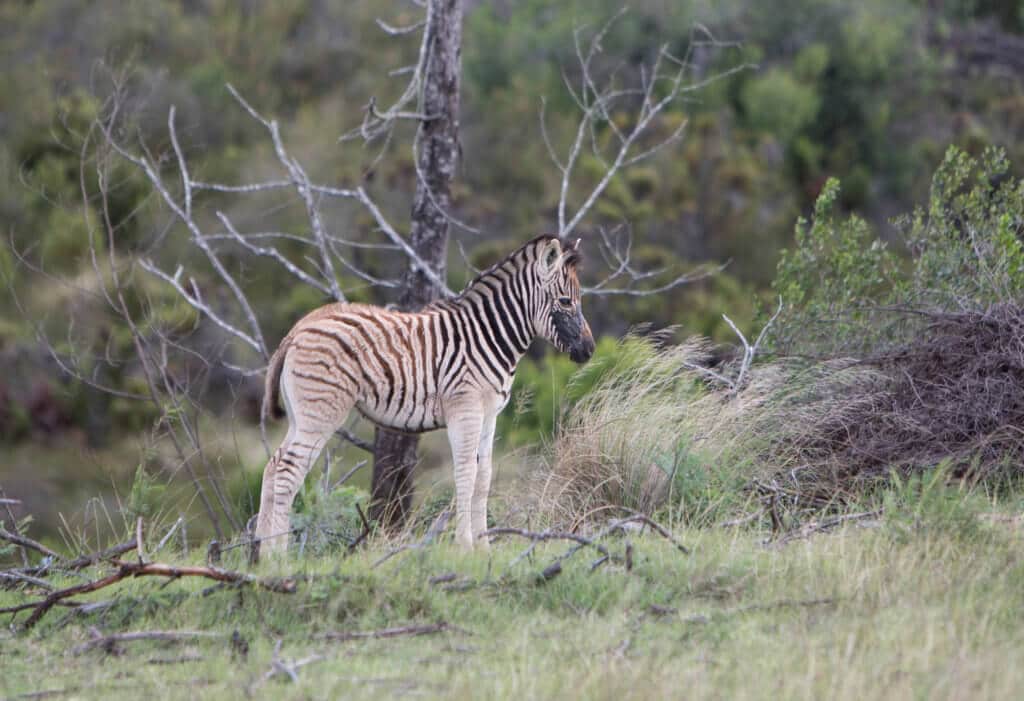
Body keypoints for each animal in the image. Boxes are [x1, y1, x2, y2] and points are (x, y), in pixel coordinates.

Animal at [254, 235, 595, 557]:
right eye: (566, 301)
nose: (589, 351)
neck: (488, 337)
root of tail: (300, 327)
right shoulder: (465, 410)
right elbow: (466, 472)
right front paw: (464, 546)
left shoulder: (489, 415)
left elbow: (484, 476)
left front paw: (484, 548)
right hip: (321, 411)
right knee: (288, 471)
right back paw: (277, 556)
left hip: (301, 415)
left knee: (273, 466)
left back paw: (258, 552)